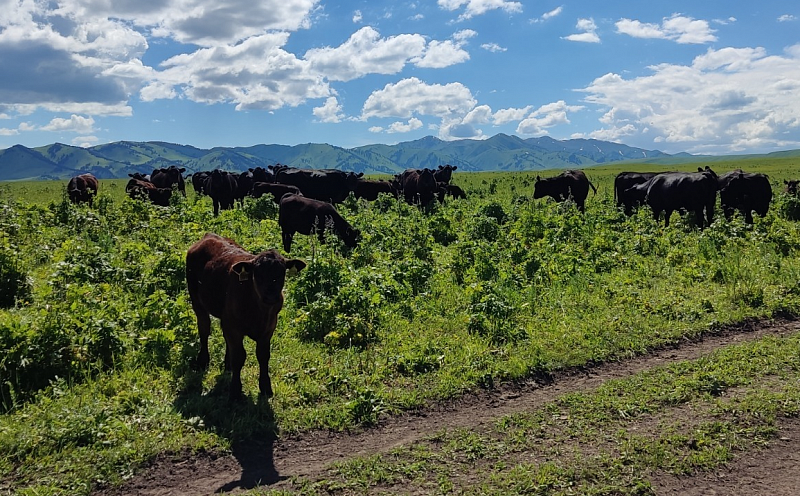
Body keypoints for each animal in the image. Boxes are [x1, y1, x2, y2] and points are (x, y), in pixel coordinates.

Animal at [186, 232, 308, 400]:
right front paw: (235, 391)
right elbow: (239, 357)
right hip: (197, 301)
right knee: (204, 329)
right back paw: (203, 360)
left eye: (281, 273)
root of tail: (209, 236)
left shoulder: (269, 327)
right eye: (257, 274)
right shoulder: (234, 327)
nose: (271, 296)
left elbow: (263, 355)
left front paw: (265, 387)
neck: (259, 311)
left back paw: (227, 364)